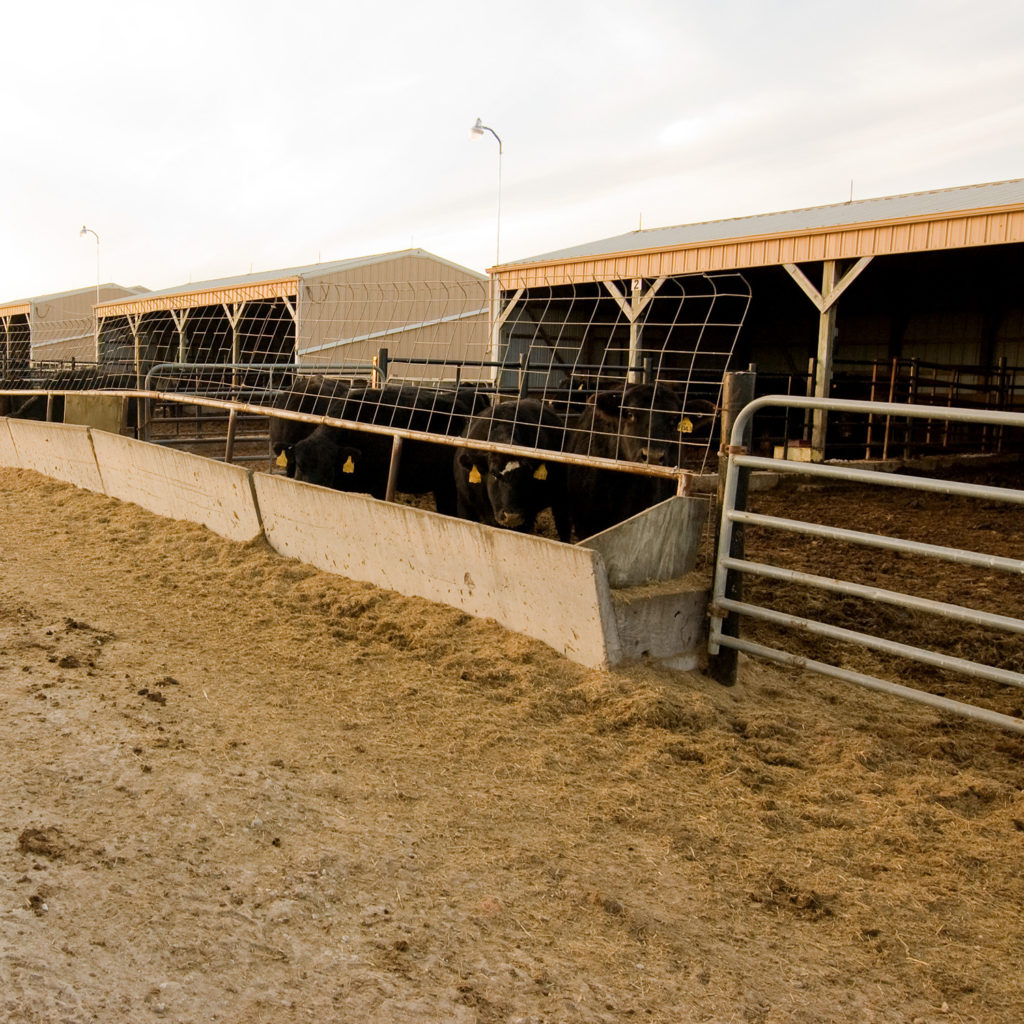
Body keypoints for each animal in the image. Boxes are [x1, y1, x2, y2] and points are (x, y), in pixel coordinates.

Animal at [454, 397, 573, 544]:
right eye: (493, 473)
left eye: (527, 475)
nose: (512, 517)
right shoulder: (465, 503)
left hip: (561, 498)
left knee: (563, 525)